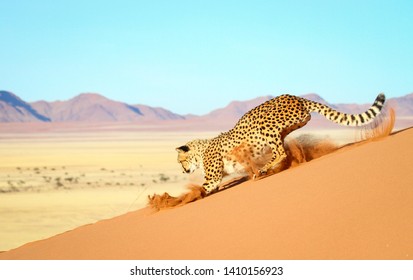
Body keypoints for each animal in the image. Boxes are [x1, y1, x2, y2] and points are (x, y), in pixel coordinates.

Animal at [175, 93, 384, 195]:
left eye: (180, 161)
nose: (183, 171)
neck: (201, 150)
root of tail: (294, 96)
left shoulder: (213, 178)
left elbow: (203, 187)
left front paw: (179, 200)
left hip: (265, 124)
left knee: (280, 152)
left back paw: (263, 170)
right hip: (286, 128)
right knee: (281, 149)